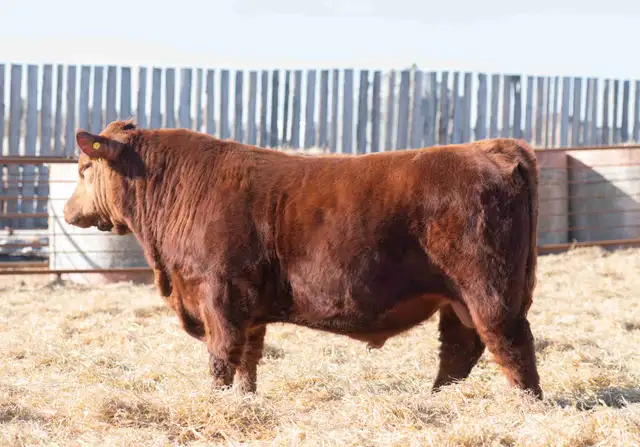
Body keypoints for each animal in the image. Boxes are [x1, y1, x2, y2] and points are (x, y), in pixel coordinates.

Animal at [63, 120, 542, 399]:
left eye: (84, 169)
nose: (68, 212)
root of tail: (493, 148)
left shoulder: (219, 294)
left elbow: (222, 356)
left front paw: (215, 401)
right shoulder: (248, 307)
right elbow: (248, 358)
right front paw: (245, 401)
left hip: (489, 291)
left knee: (511, 345)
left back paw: (525, 405)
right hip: (458, 300)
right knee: (460, 349)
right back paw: (437, 398)